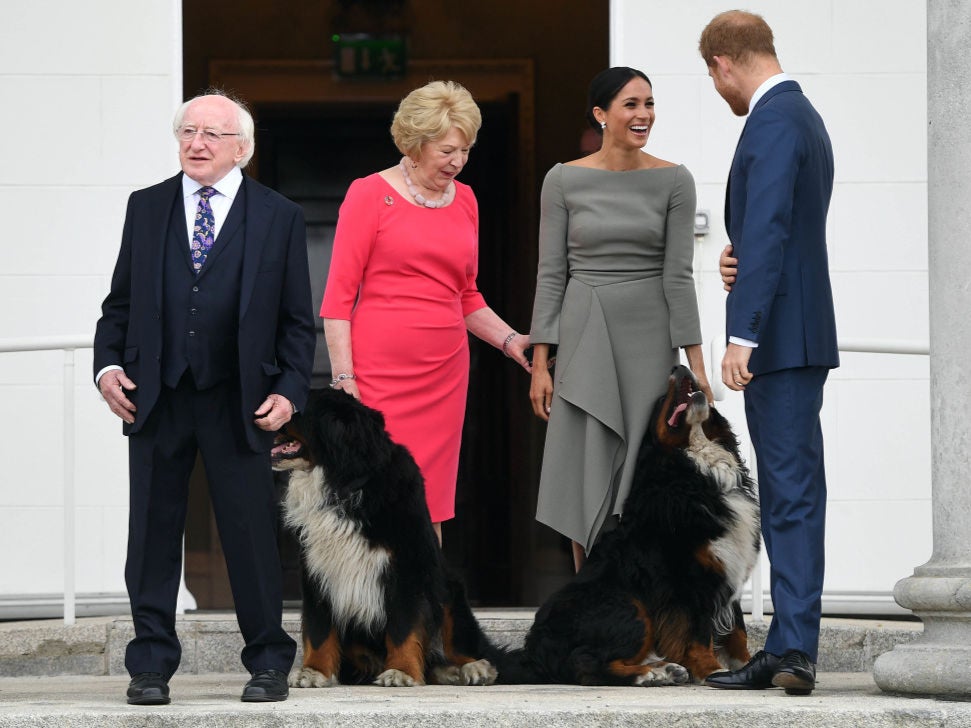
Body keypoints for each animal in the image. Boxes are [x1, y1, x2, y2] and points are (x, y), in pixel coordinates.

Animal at [274, 390, 502, 684]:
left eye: (299, 407)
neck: (344, 483)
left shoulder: (405, 567)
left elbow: (404, 626)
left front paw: (401, 671)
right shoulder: (317, 570)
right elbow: (319, 629)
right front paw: (313, 672)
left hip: (449, 591)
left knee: (461, 644)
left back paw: (472, 668)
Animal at [498, 366, 764, 684]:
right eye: (662, 400)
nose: (679, 368)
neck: (695, 472)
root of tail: (534, 652)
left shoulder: (727, 567)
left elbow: (738, 630)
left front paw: (747, 666)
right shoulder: (689, 579)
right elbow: (698, 632)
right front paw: (713, 670)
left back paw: (666, 669)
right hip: (629, 604)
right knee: (585, 663)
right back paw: (652, 674)